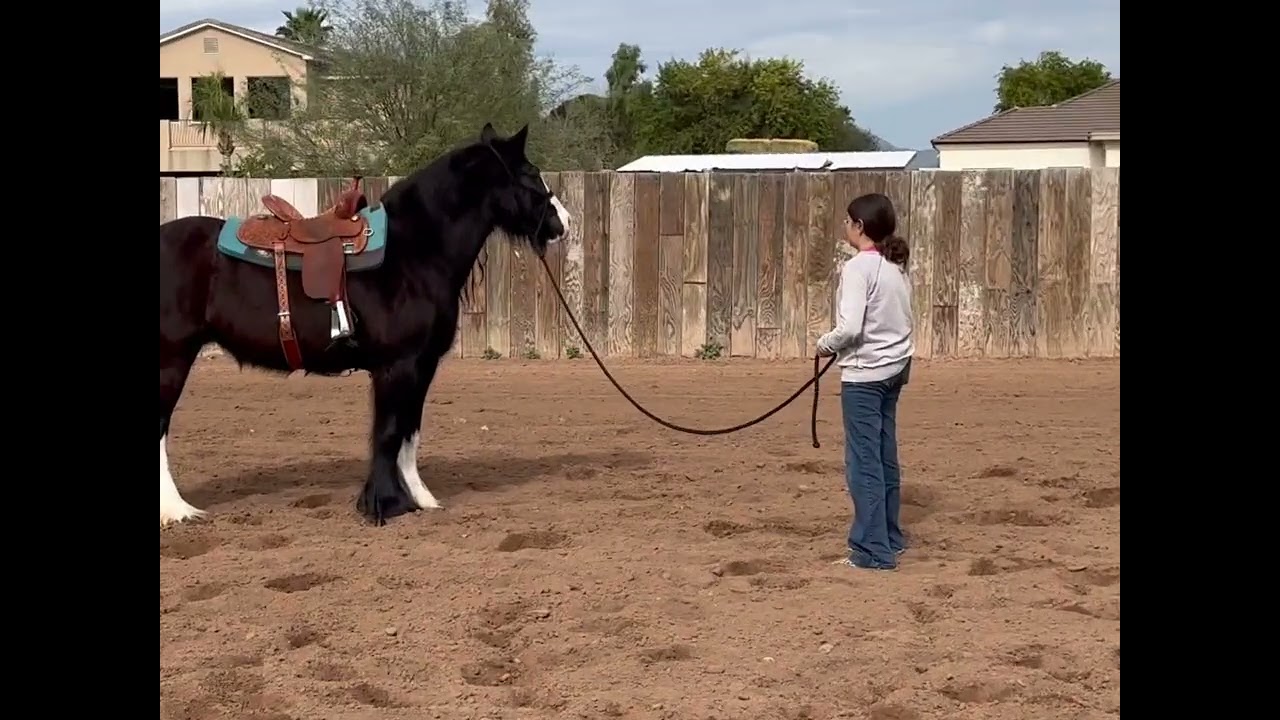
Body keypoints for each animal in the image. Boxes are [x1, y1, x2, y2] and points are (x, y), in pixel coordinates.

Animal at [159, 122, 571, 528]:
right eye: (529, 173)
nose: (564, 224)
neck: (412, 253)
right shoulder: (396, 365)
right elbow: (387, 432)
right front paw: (383, 504)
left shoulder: (422, 365)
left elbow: (409, 433)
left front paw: (420, 499)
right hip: (172, 360)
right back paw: (178, 511)